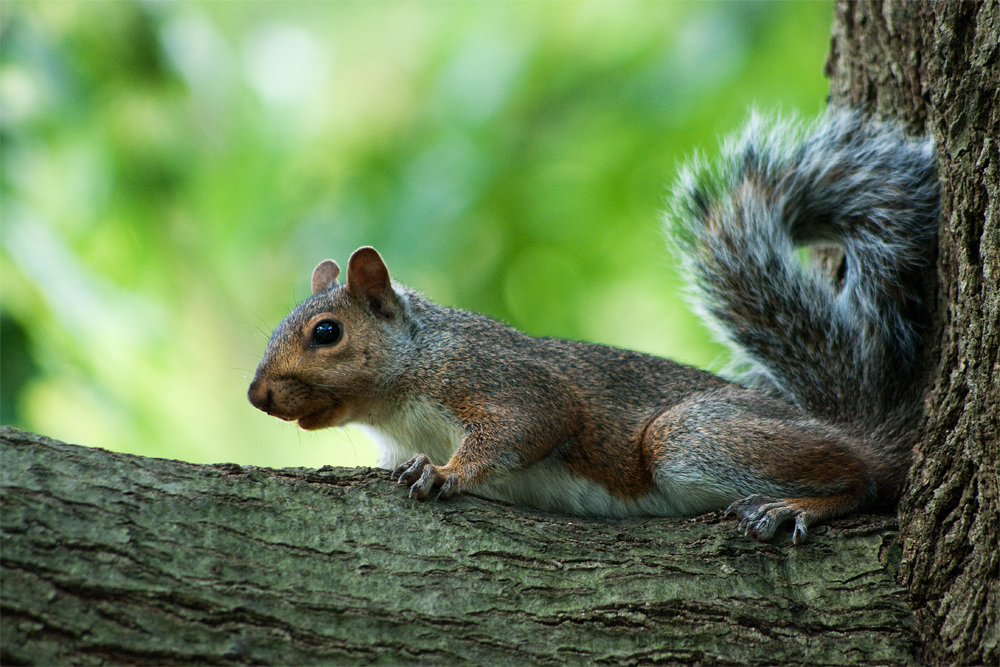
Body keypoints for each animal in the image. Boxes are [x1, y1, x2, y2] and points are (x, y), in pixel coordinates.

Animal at [248, 108, 939, 544]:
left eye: (327, 333)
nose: (256, 395)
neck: (400, 396)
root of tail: (852, 428)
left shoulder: (495, 377)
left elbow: (526, 423)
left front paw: (446, 473)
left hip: (694, 437)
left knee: (864, 478)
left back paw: (794, 506)